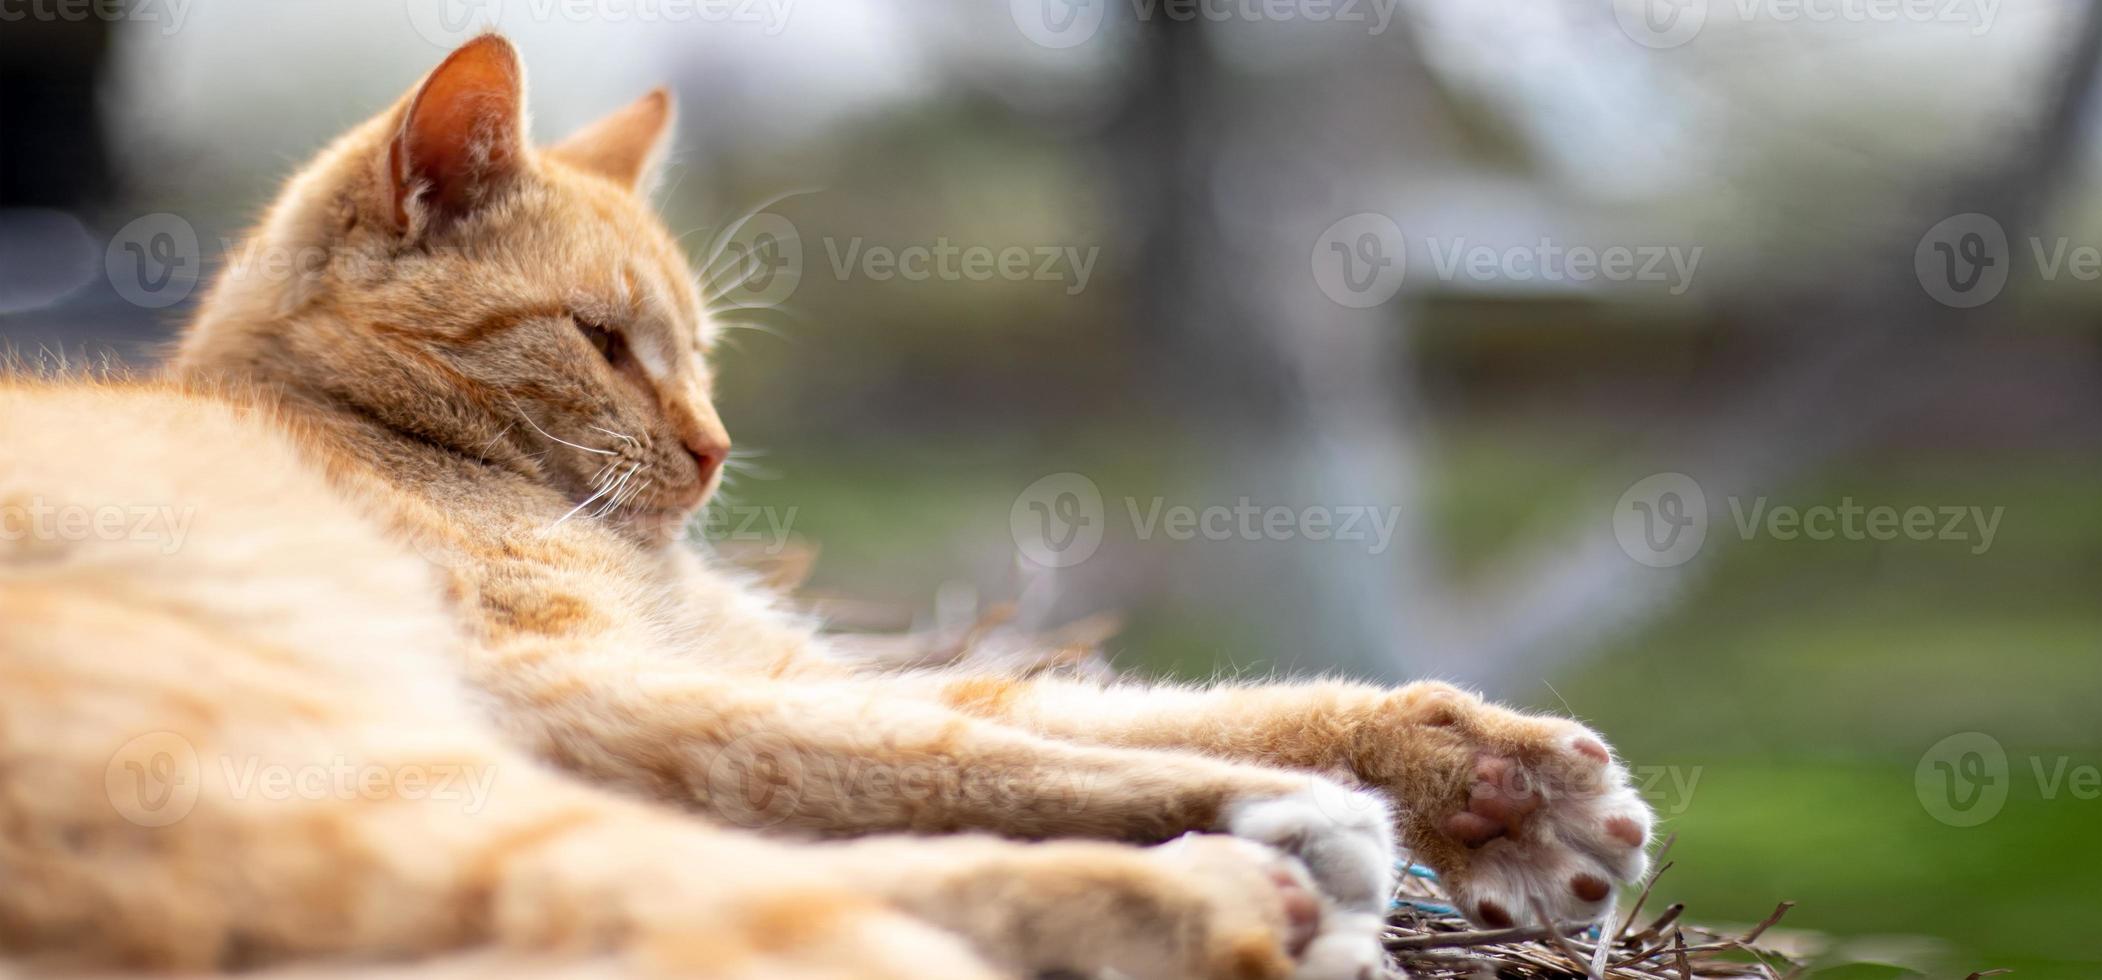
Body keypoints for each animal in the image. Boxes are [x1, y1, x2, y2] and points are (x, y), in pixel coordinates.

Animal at [0, 34, 1656, 975]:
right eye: (606, 341)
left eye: (701, 353)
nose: (713, 449)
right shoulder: (591, 684)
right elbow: (940, 751)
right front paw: (1318, 806)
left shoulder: (787, 665)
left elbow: (1138, 710)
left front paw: (1490, 785)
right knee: (744, 904)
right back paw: (1244, 892)